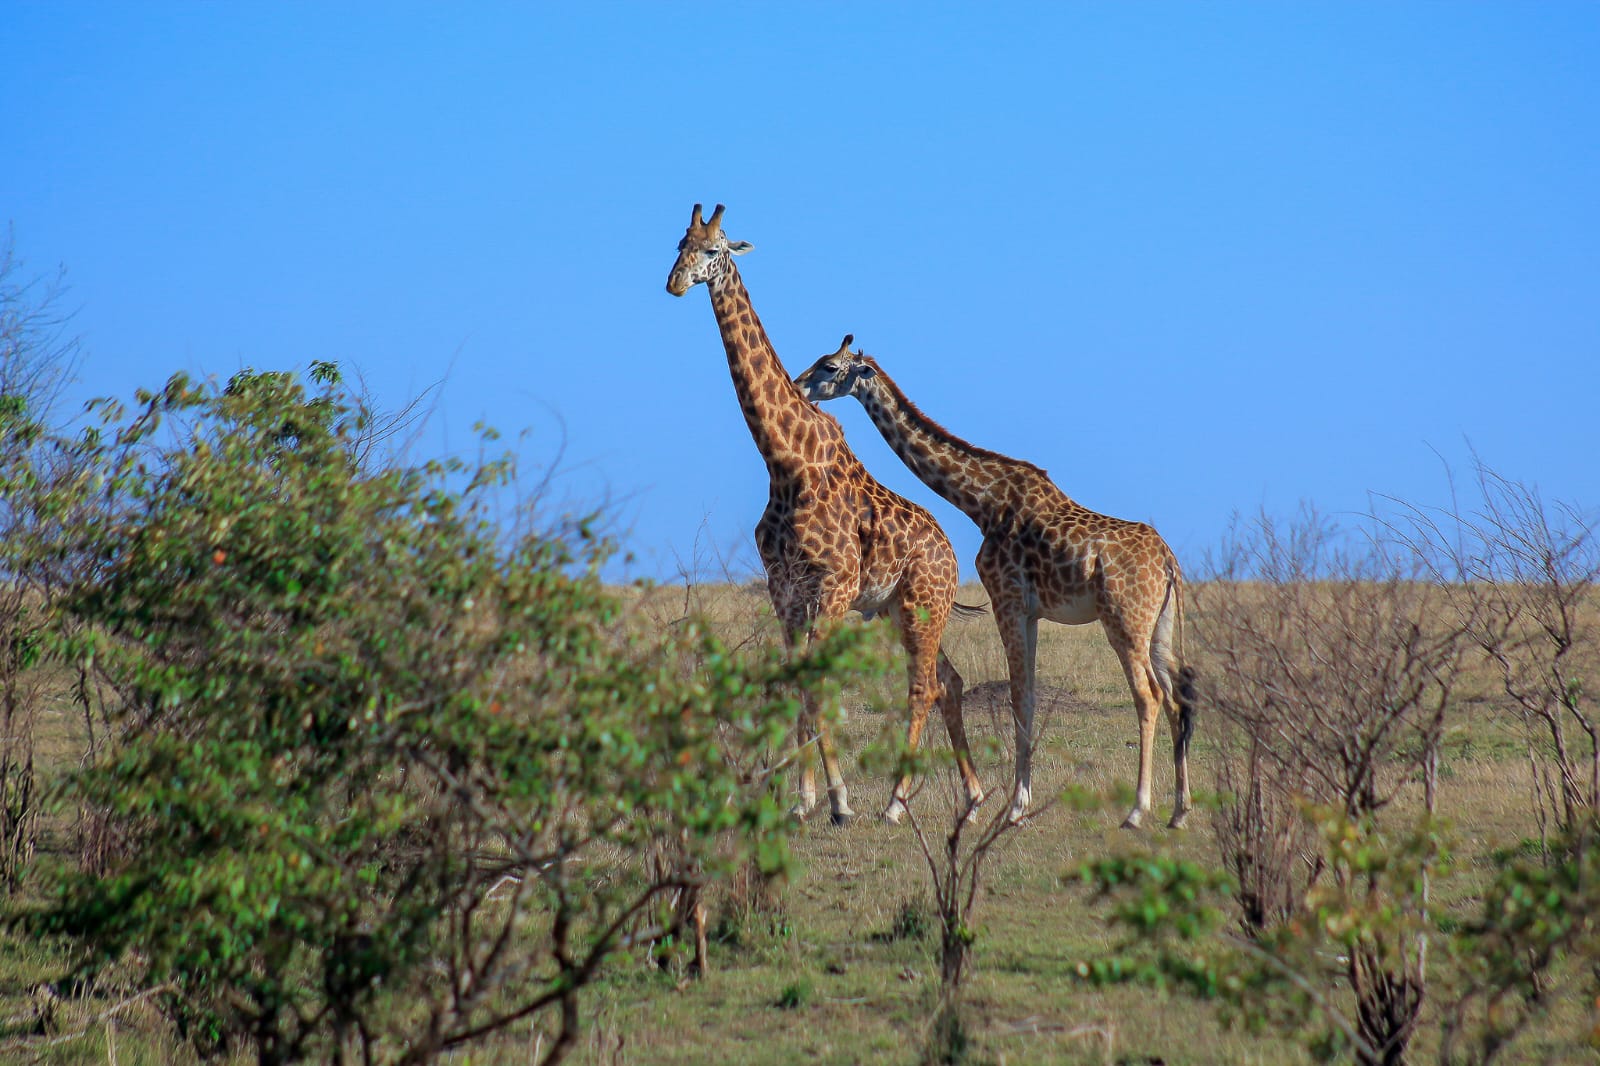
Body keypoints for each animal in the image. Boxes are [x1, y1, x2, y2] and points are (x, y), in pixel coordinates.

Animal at [665, 205, 984, 825]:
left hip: (921, 604)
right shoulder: (784, 589)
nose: (674, 283)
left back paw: (895, 802)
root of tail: (952, 552)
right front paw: (802, 798)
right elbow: (794, 683)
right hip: (895, 609)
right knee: (950, 681)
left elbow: (819, 686)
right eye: (679, 245)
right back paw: (974, 796)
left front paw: (837, 800)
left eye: (714, 250)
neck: (785, 460)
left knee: (925, 686)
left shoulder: (834, 587)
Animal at [794, 335, 1195, 829]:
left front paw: (1016, 806)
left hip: (1124, 619)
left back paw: (1137, 810)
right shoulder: (1031, 611)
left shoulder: (1007, 598)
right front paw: (1019, 801)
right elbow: (1027, 697)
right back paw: (1179, 811)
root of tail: (1170, 563)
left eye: (829, 366)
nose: (799, 385)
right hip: (1160, 626)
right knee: (1176, 699)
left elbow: (1019, 698)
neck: (979, 502)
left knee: (1149, 695)